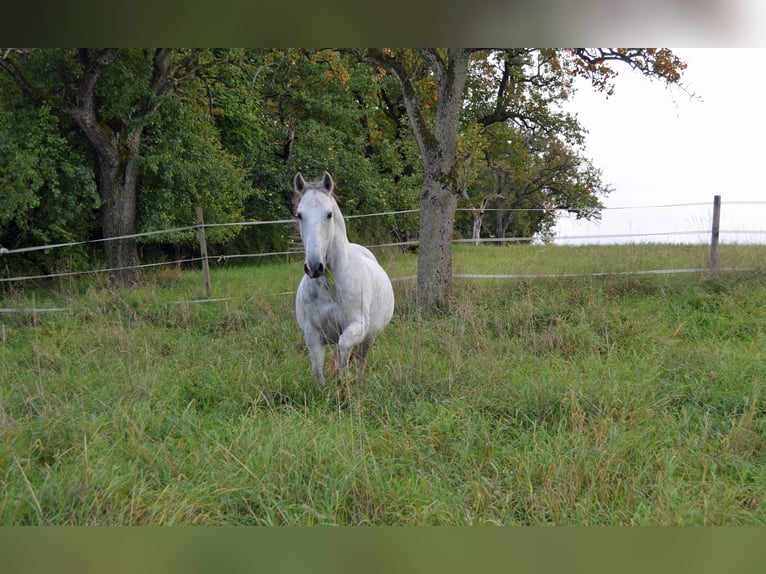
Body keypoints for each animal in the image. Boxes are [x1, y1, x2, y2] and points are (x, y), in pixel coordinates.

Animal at [294, 171, 395, 384]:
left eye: (329, 214)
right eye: (299, 215)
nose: (314, 267)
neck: (330, 286)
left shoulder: (357, 327)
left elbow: (343, 349)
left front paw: (342, 381)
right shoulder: (312, 334)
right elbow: (318, 369)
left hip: (369, 337)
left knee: (360, 361)